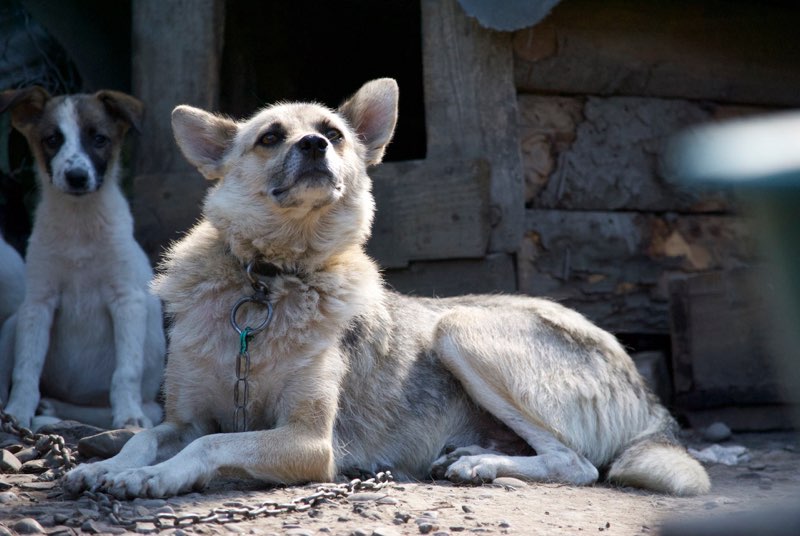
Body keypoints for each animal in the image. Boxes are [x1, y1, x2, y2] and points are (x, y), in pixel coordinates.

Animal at [0, 89, 164, 432]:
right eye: (52, 139)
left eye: (99, 139)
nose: (76, 177)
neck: (79, 224)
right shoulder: (38, 302)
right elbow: (26, 369)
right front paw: (18, 412)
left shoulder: (127, 300)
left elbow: (126, 371)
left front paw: (128, 416)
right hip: (12, 324)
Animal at [62, 78, 708, 498]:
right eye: (270, 137)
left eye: (334, 133)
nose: (315, 145)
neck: (271, 281)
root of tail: (650, 396)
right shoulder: (184, 417)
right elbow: (149, 438)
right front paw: (111, 465)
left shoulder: (309, 441)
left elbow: (211, 447)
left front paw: (153, 478)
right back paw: (475, 454)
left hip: (460, 329)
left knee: (577, 464)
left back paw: (479, 467)